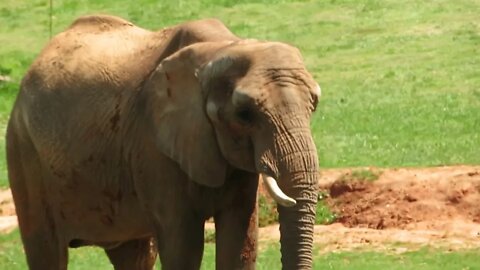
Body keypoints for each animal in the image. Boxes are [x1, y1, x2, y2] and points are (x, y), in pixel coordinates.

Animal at [4, 14, 322, 270]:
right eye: (244, 114)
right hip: (23, 153)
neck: (225, 46)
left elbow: (240, 241)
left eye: (314, 104)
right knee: (47, 251)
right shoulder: (153, 146)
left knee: (134, 255)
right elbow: (183, 245)